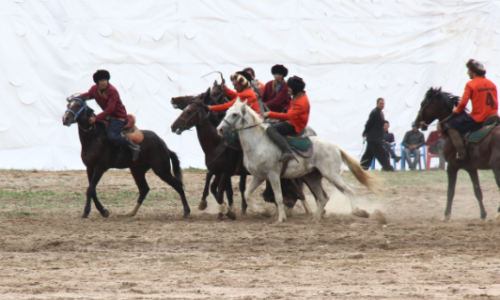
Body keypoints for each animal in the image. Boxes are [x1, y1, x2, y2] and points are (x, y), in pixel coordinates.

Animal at [61, 96, 189, 218]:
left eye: (78, 105)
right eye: (68, 105)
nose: (65, 119)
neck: (94, 137)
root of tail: (164, 146)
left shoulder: (100, 168)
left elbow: (90, 189)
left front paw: (87, 212)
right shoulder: (89, 168)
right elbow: (92, 190)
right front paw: (103, 211)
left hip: (162, 170)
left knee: (178, 185)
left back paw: (187, 211)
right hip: (137, 170)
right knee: (144, 189)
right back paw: (131, 212)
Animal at [216, 99, 382, 221]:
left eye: (235, 114)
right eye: (227, 112)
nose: (220, 129)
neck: (258, 142)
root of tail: (334, 146)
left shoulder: (273, 175)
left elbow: (278, 197)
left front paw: (281, 218)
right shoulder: (259, 177)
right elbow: (247, 195)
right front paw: (264, 212)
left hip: (331, 175)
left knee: (349, 189)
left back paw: (358, 212)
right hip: (312, 177)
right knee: (323, 197)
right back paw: (315, 218)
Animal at [414, 86, 500, 220]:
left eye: (423, 104)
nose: (416, 123)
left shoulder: (451, 166)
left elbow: (450, 191)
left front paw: (446, 214)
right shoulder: (471, 169)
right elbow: (477, 191)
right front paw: (483, 214)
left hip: (496, 168)